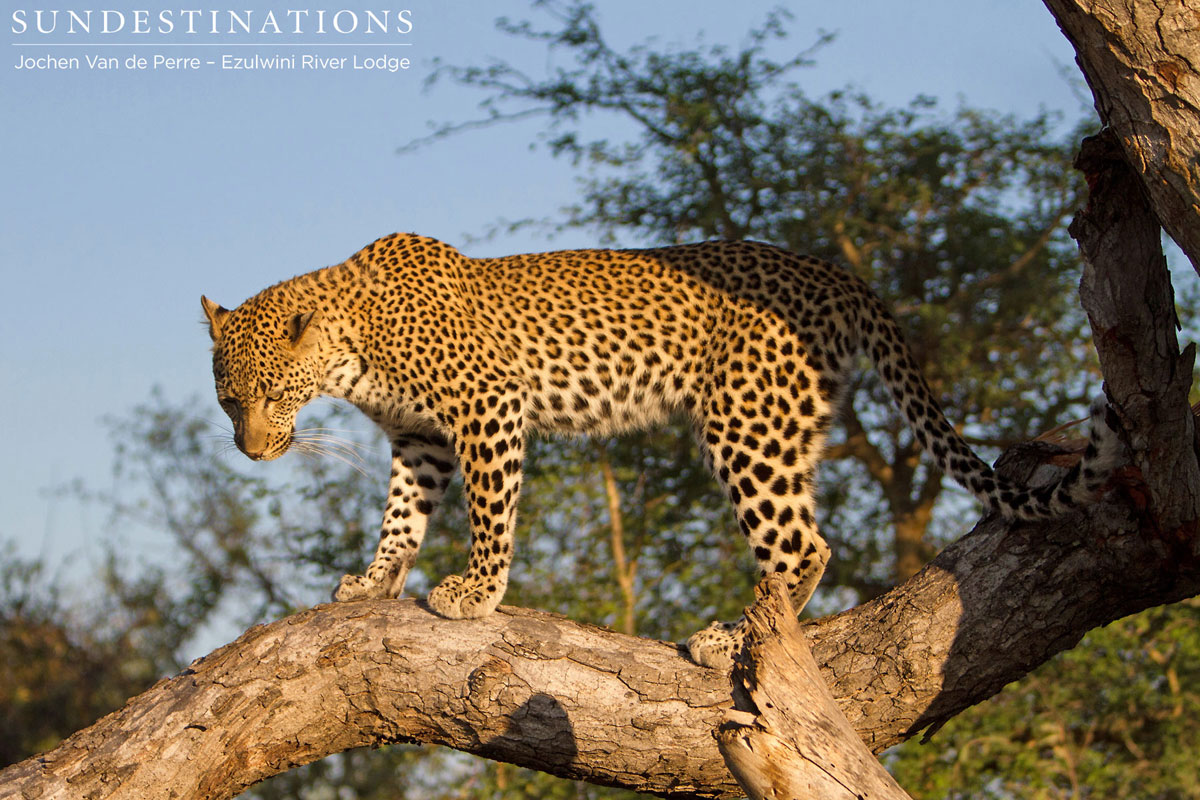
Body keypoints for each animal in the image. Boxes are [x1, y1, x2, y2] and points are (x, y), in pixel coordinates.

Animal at [202, 233, 1121, 669]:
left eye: (272, 396)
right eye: (229, 400)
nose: (252, 453)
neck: (352, 349)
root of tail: (832, 273)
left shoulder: (487, 409)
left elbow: (489, 511)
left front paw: (476, 592)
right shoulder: (421, 436)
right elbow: (401, 514)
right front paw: (374, 579)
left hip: (744, 422)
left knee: (802, 542)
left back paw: (728, 637)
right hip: (786, 426)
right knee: (813, 536)